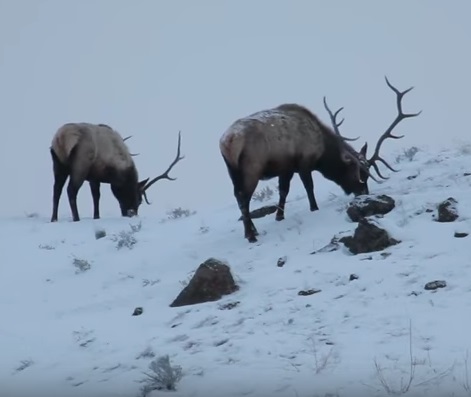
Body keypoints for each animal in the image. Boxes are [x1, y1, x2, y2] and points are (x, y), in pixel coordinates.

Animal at [50, 122, 184, 221]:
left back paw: (54, 219)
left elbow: (96, 196)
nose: (132, 213)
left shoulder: (94, 177)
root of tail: (62, 137)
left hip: (58, 164)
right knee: (71, 190)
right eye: (139, 200)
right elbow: (98, 195)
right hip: (81, 165)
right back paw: (76, 218)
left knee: (56, 190)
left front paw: (96, 216)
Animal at [219, 76, 422, 243]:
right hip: (252, 168)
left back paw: (252, 230)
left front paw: (279, 216)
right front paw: (314, 208)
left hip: (232, 171)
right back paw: (250, 235)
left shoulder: (286, 167)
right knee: (243, 198)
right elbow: (309, 187)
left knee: (238, 197)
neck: (322, 153)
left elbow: (283, 191)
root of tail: (227, 141)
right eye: (361, 174)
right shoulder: (304, 162)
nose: (363, 194)